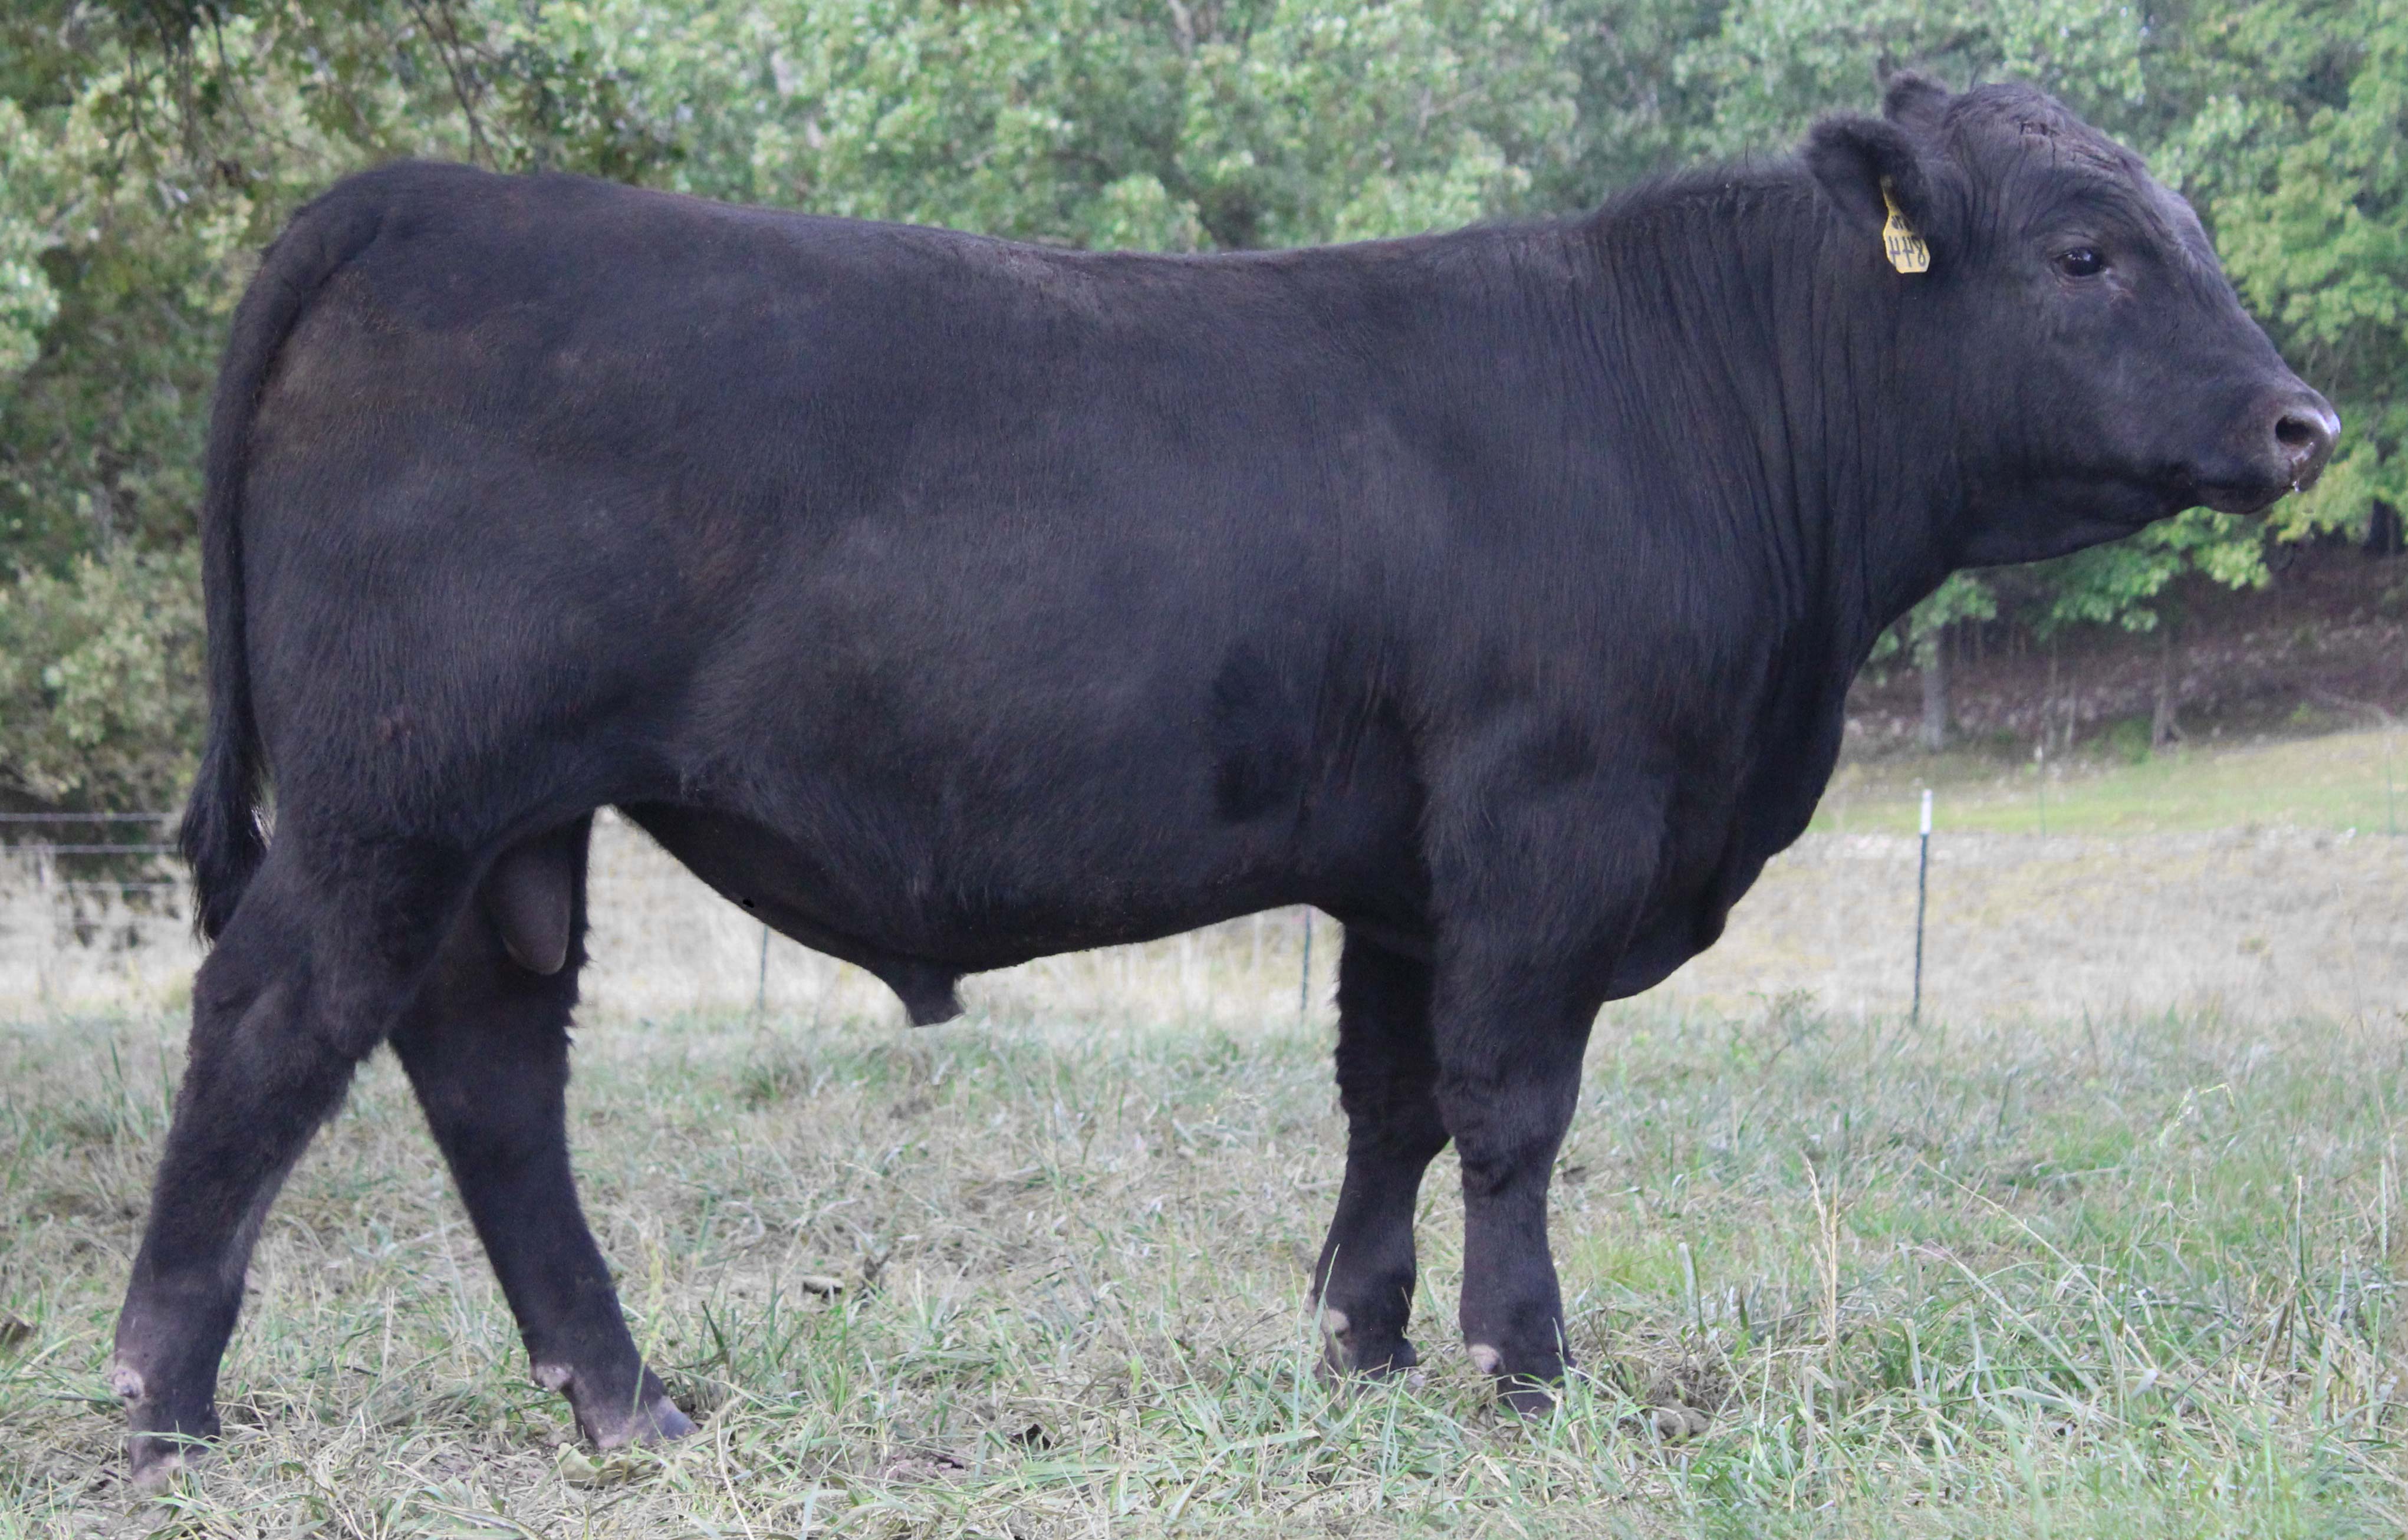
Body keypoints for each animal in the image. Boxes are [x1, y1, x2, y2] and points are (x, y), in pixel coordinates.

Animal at [110, 73, 2334, 1486]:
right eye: (2082, 254)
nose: (2300, 421)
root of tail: (421, 193)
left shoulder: (1404, 873)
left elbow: (1391, 1100)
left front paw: (1359, 1341)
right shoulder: (1548, 820)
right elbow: (1512, 1106)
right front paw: (1524, 1366)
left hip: (506, 825)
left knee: (486, 1069)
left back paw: (620, 1399)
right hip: (402, 797)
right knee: (275, 1031)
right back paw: (161, 1401)